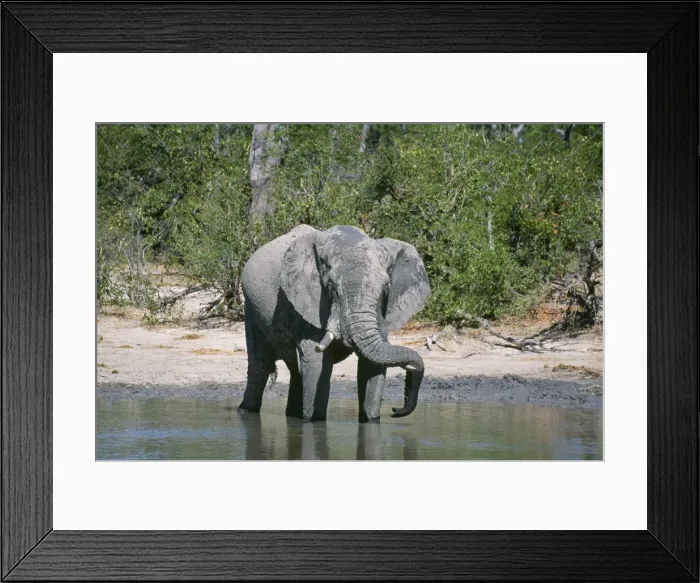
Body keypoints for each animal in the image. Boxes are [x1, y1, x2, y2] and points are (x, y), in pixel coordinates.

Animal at [238, 224, 430, 423]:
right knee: (260, 365)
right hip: (251, 309)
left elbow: (372, 366)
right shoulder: (310, 303)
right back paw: (246, 410)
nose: (395, 410)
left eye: (386, 288)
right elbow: (316, 361)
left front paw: (370, 421)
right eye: (331, 287)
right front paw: (315, 422)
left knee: (294, 370)